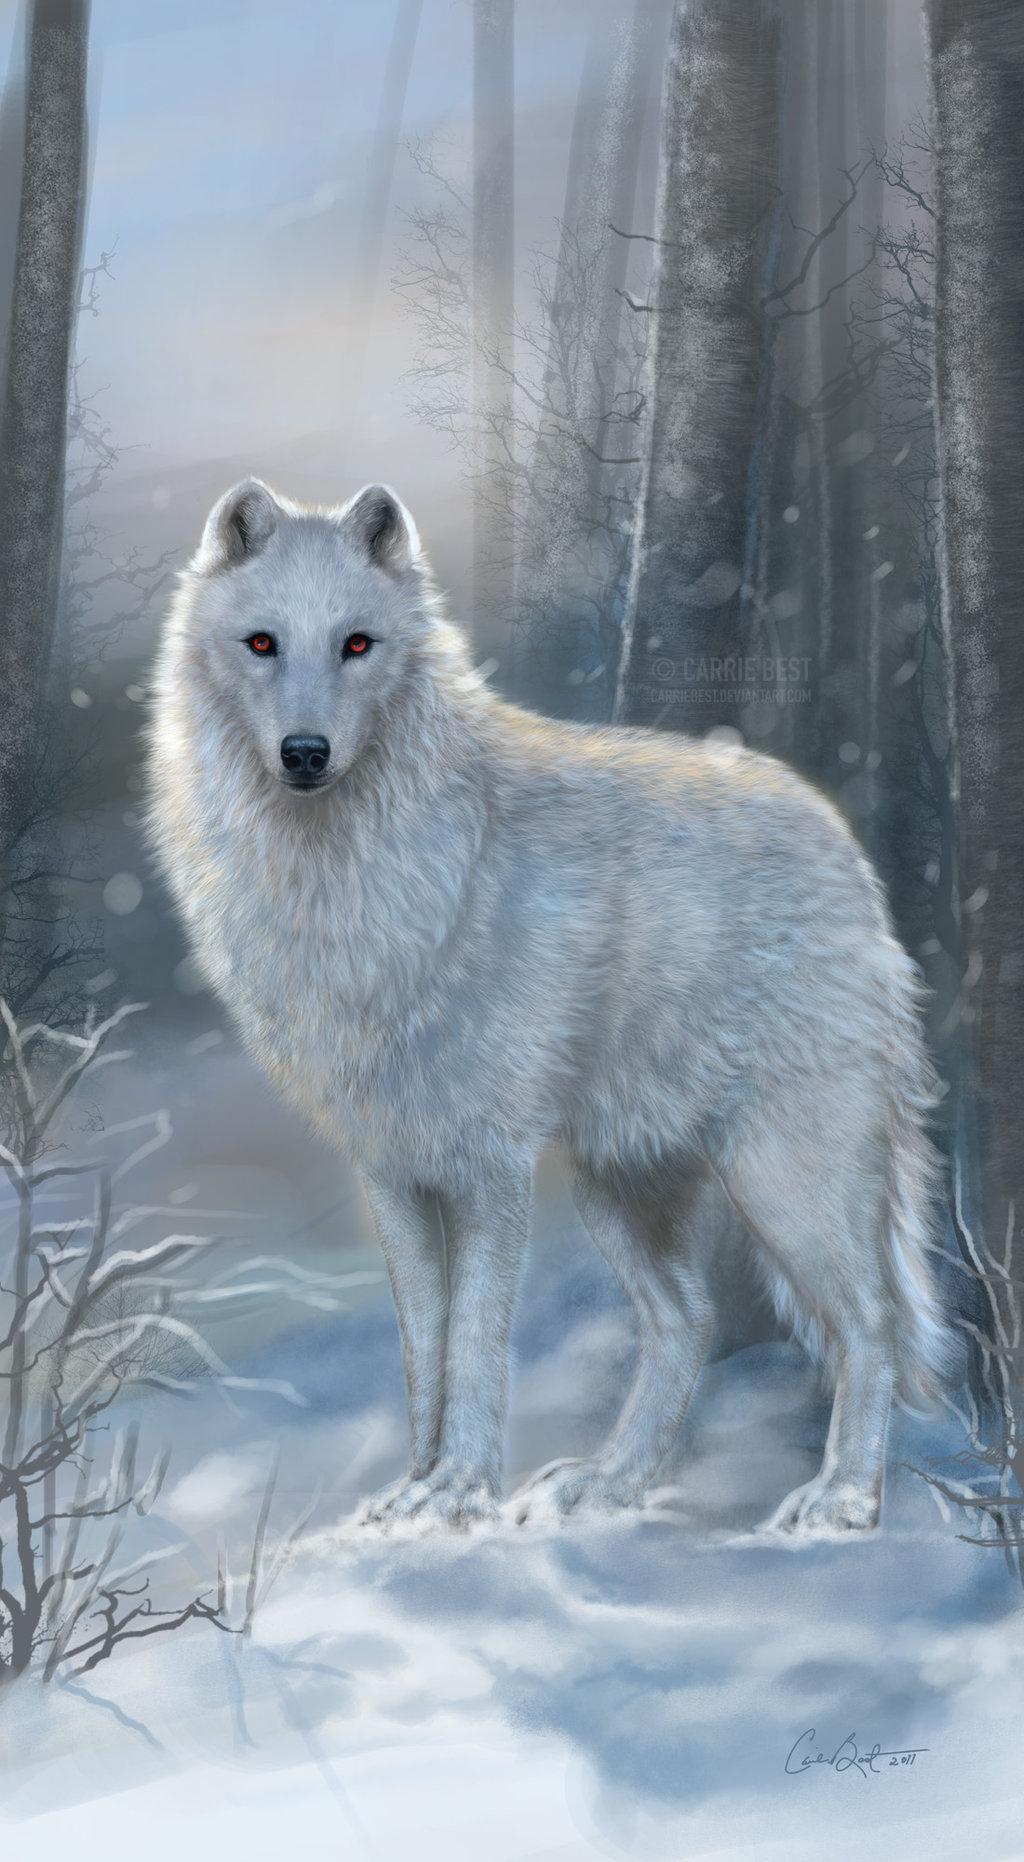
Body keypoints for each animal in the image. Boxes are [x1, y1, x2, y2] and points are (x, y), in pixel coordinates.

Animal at [147, 477, 949, 1538]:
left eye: (357, 643)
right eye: (262, 643)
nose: (306, 753)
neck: (348, 886)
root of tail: (845, 847)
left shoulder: (490, 1172)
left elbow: (476, 1349)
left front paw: (455, 1494)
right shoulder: (393, 1175)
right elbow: (424, 1353)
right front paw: (410, 1494)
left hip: (784, 1174)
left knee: (868, 1325)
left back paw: (842, 1502)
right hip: (622, 1181)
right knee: (687, 1322)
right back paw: (606, 1487)